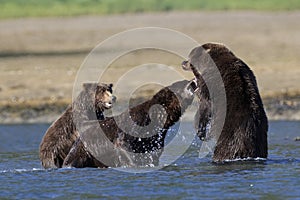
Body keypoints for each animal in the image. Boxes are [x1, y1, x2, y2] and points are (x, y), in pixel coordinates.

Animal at [62, 79, 196, 168]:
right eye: (183, 82)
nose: (193, 80)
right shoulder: (134, 126)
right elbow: (124, 146)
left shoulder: (155, 138)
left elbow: (153, 152)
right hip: (83, 154)